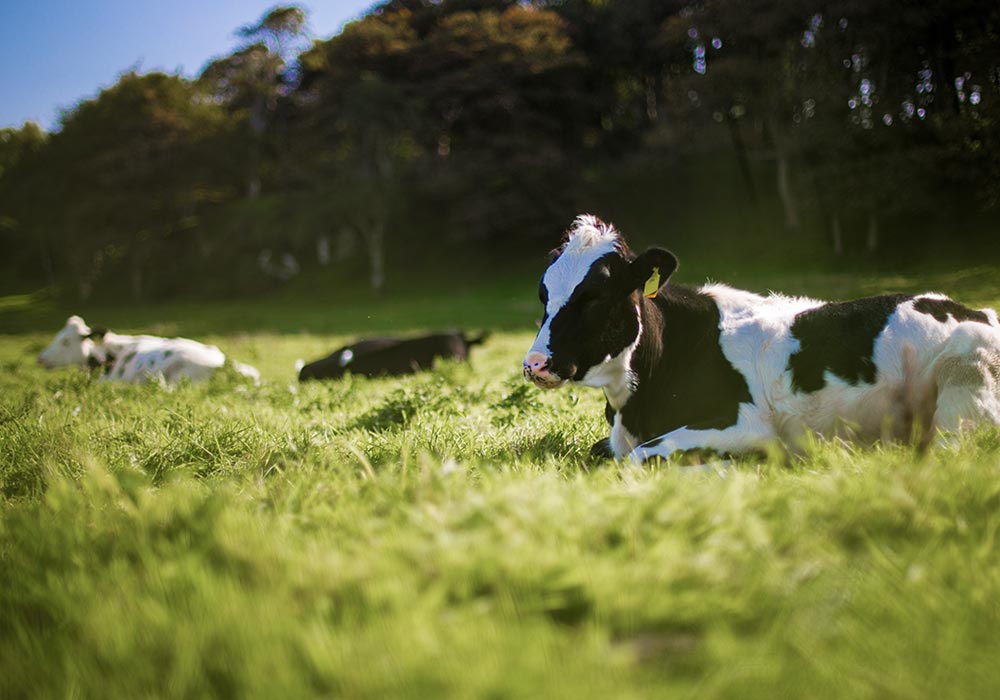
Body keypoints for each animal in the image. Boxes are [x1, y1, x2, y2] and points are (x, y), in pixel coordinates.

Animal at [524, 216, 1000, 462]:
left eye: (595, 296)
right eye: (544, 293)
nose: (534, 364)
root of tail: (976, 310)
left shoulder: (745, 422)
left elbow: (641, 457)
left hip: (965, 385)